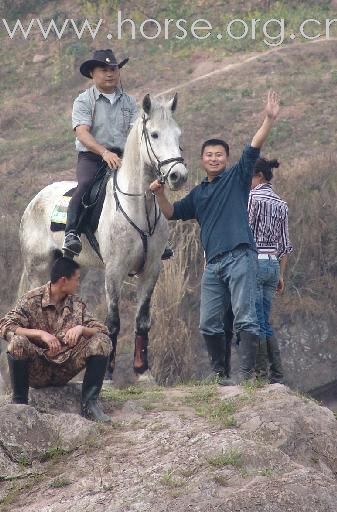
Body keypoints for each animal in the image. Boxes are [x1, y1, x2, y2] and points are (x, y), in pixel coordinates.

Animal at [18, 94, 188, 378]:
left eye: (178, 135)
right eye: (154, 134)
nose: (178, 176)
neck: (138, 206)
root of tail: (34, 201)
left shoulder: (151, 269)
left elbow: (142, 320)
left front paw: (142, 371)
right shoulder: (114, 270)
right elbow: (113, 322)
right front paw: (107, 374)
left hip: (74, 268)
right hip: (36, 269)